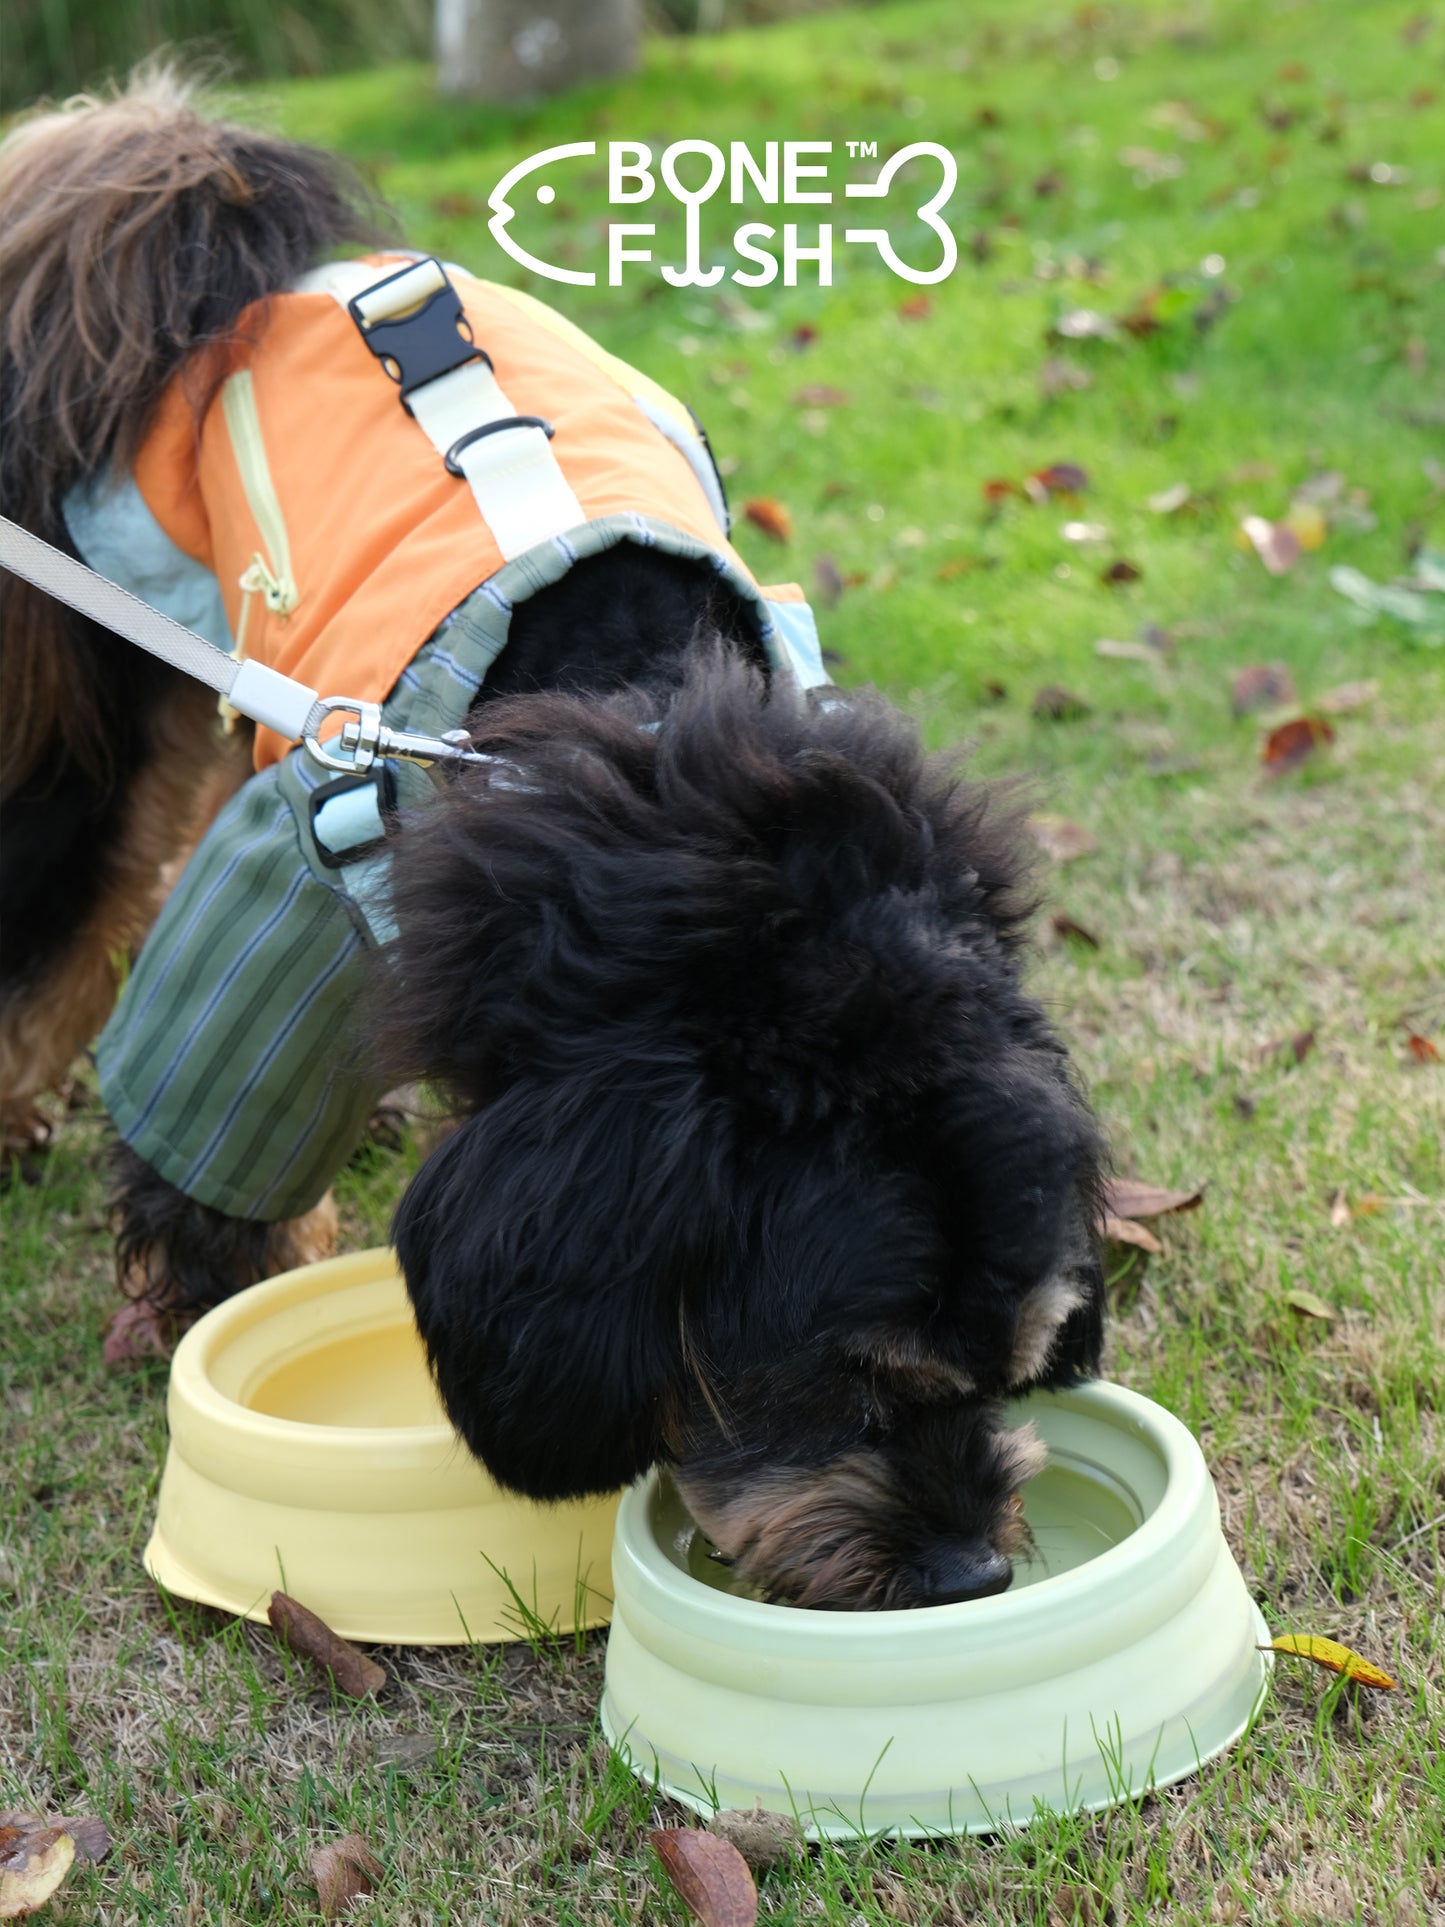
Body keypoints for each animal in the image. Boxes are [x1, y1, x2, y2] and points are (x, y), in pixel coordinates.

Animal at [0, 71, 1109, 1610]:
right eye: (838, 1379)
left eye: (1015, 1365)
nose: (968, 1571)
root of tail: (211, 217)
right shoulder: (295, 877)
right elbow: (210, 1112)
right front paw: (224, 1286)